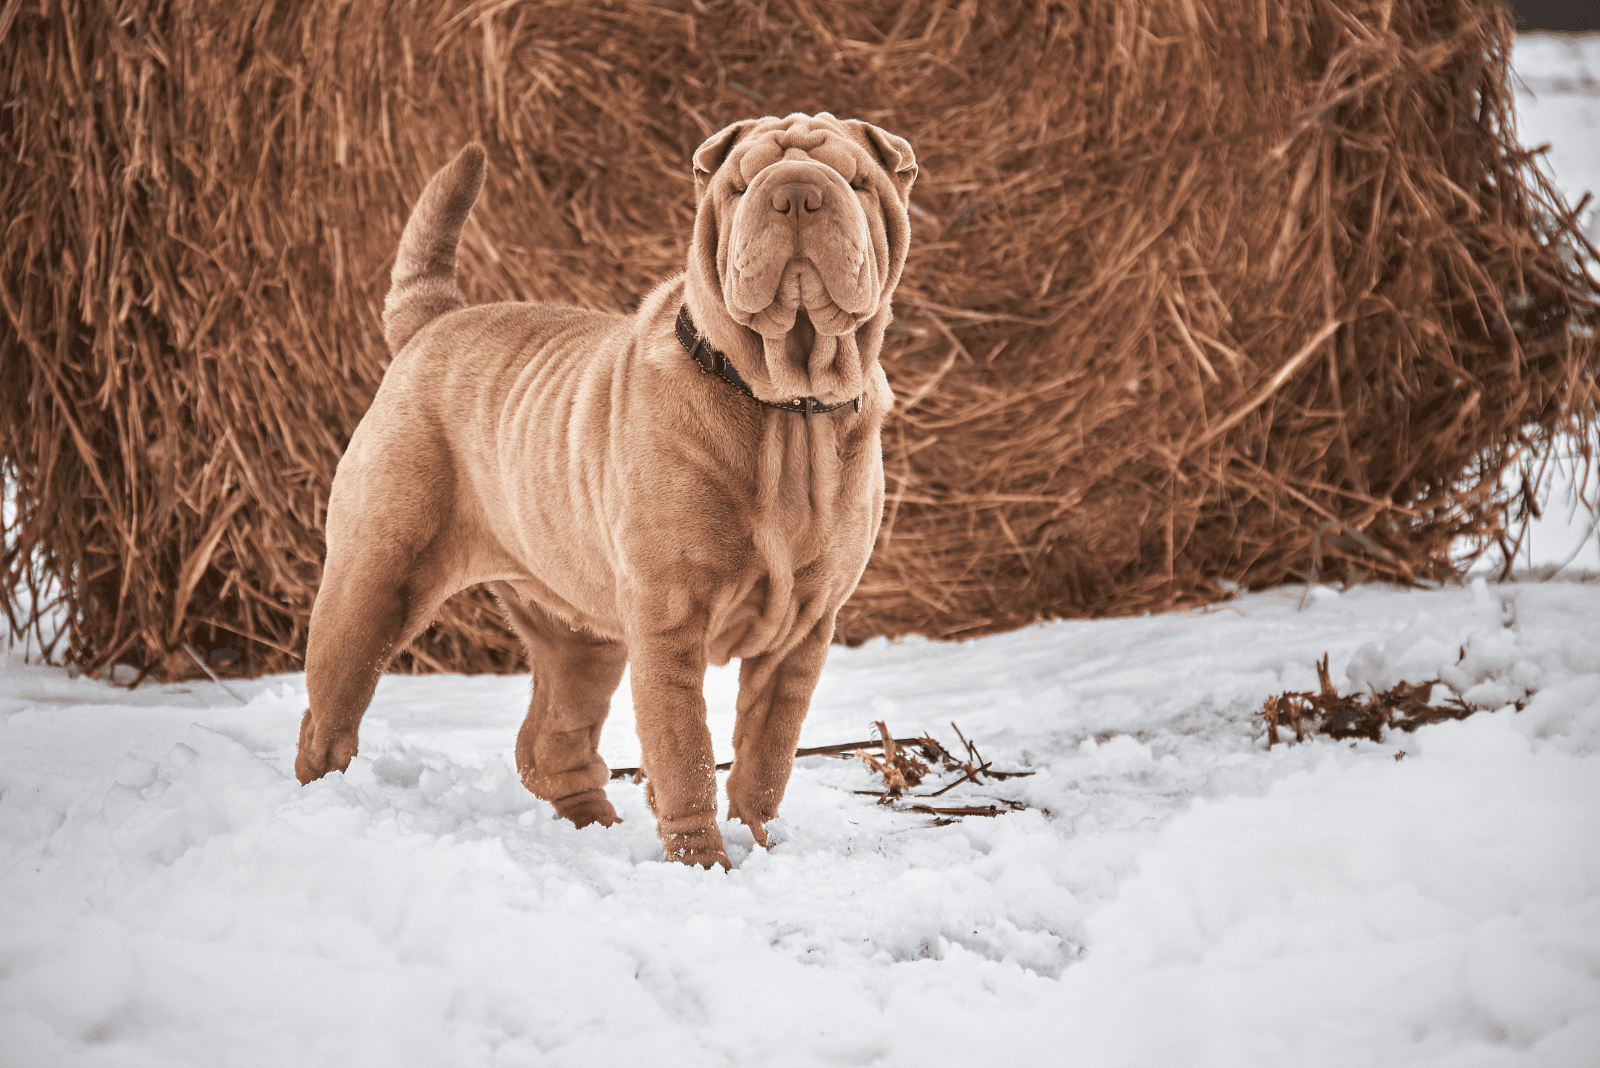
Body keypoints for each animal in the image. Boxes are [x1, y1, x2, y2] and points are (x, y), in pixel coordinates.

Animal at [297, 115, 915, 869]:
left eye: (856, 181)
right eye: (740, 187)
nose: (796, 194)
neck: (784, 415)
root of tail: (432, 322)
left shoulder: (802, 632)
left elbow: (767, 756)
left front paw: (760, 844)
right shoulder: (669, 618)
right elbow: (685, 751)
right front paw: (703, 865)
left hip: (578, 635)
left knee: (548, 744)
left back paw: (596, 828)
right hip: (375, 578)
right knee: (328, 716)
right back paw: (324, 808)